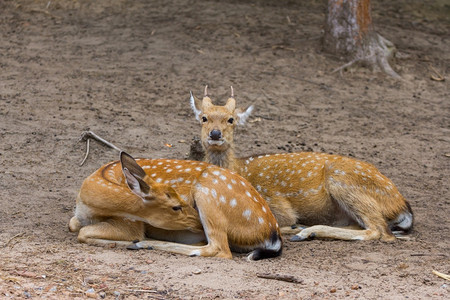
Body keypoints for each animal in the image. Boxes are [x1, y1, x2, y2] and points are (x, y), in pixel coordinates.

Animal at [69, 151, 282, 258]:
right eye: (175, 206)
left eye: (182, 200)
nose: (197, 224)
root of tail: (271, 233)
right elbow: (74, 226)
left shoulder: (130, 223)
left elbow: (83, 233)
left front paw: (133, 241)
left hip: (208, 197)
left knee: (219, 249)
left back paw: (143, 244)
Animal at [188, 85, 414, 243]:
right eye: (204, 118)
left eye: (231, 120)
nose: (215, 134)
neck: (239, 169)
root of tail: (402, 205)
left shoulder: (276, 204)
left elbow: (283, 220)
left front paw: (294, 227)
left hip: (342, 180)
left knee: (380, 231)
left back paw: (305, 232)